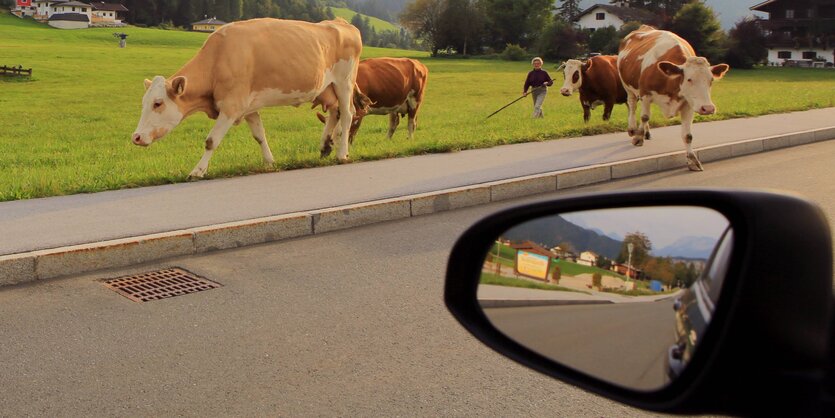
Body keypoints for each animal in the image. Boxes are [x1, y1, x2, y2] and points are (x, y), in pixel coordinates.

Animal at [132, 17, 368, 178]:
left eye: (158, 103)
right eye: (143, 103)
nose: (136, 137)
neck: (218, 58)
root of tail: (341, 22)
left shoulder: (232, 106)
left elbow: (211, 141)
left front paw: (197, 171)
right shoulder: (249, 107)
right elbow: (259, 135)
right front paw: (270, 162)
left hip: (344, 81)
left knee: (347, 114)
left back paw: (342, 153)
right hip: (327, 88)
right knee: (335, 113)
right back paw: (326, 146)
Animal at [616, 24, 728, 170]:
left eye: (711, 80)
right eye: (689, 79)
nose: (708, 108)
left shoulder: (689, 104)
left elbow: (688, 136)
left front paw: (692, 160)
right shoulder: (645, 94)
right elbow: (644, 117)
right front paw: (638, 137)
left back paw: (646, 132)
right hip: (628, 87)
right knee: (632, 106)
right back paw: (632, 129)